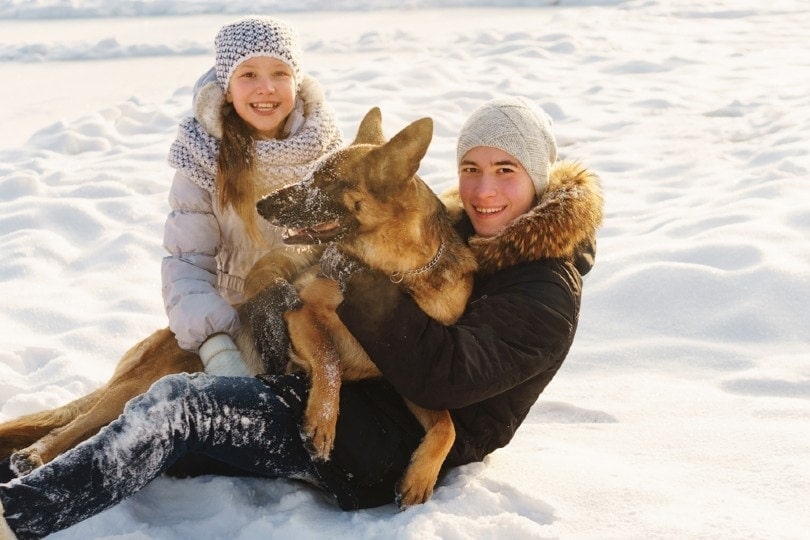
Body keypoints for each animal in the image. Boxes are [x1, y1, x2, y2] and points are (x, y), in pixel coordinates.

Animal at [0, 108, 474, 506]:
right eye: (310, 174)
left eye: (324, 182)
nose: (263, 205)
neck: (397, 275)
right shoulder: (299, 313)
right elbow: (329, 360)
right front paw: (323, 422)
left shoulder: (407, 376)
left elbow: (446, 424)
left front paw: (420, 477)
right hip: (138, 386)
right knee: (73, 427)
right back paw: (32, 457)